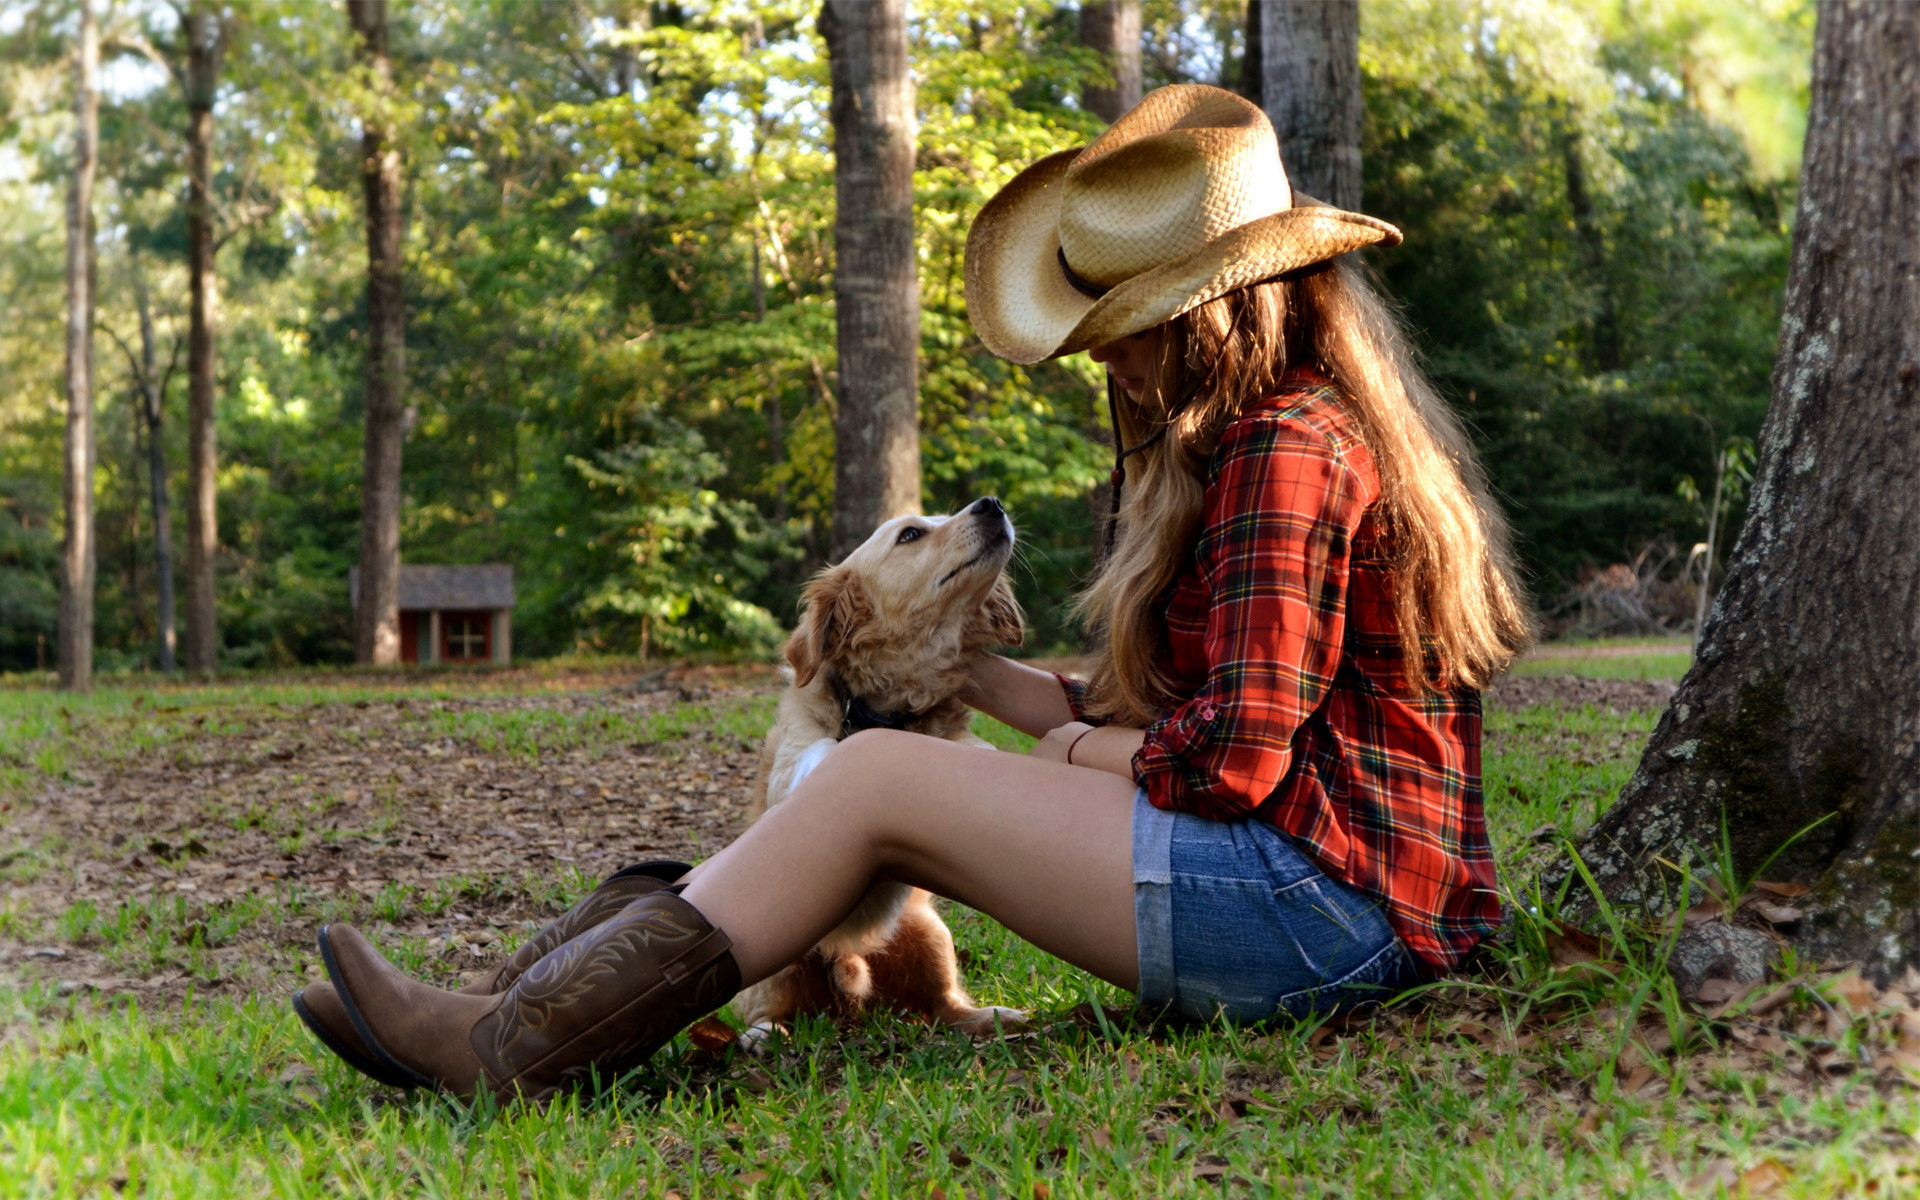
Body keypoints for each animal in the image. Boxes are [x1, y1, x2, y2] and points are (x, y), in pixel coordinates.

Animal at [729, 491, 1029, 1044]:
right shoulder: (791, 772)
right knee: (771, 1008)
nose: (992, 503)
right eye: (910, 534)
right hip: (777, 959)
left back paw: (993, 1017)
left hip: (930, 934)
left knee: (943, 1006)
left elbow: (970, 748)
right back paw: (765, 1035)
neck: (885, 709)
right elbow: (827, 752)